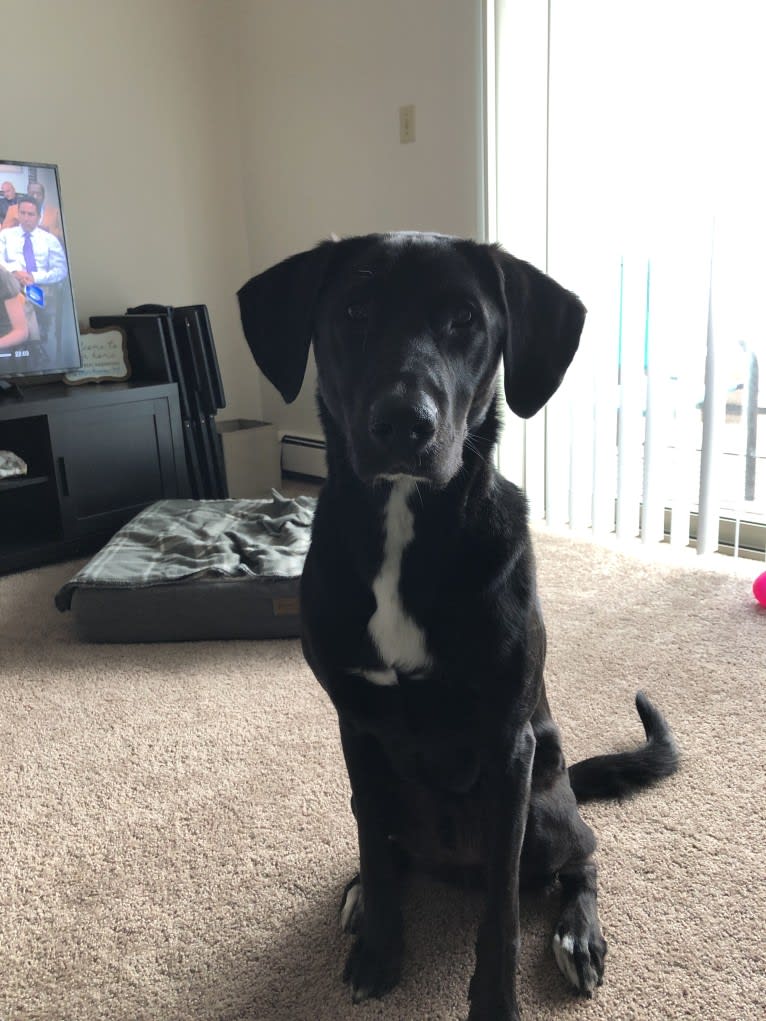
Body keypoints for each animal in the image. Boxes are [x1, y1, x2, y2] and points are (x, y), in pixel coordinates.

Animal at [238, 233, 678, 1021]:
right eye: (354, 309)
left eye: (464, 320)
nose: (403, 424)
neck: (403, 526)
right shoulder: (359, 730)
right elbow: (374, 848)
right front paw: (379, 947)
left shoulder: (506, 746)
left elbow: (501, 909)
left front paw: (495, 1003)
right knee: (384, 844)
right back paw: (362, 893)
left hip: (545, 806)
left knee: (583, 856)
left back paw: (578, 935)